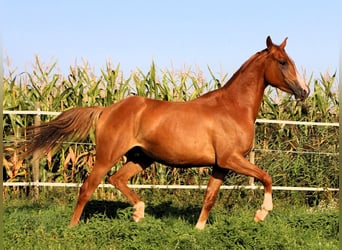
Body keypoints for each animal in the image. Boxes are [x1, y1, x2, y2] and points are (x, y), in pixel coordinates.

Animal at [20, 36, 310, 229]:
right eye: (282, 62)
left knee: (116, 179)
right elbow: (266, 177)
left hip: (141, 158)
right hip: (107, 156)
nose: (304, 91)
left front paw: (198, 230)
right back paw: (73, 227)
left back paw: (138, 212)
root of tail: (106, 109)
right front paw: (262, 213)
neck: (233, 108)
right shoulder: (231, 159)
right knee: (88, 187)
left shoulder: (221, 165)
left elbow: (210, 197)